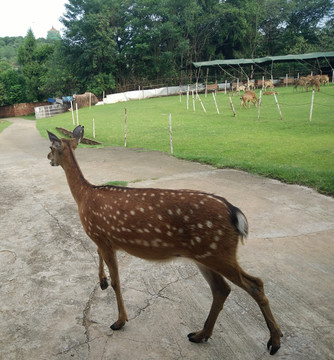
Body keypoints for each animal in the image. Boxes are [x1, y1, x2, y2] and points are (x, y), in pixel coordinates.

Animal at [47, 126, 282, 354]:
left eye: (51, 147)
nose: (48, 157)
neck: (84, 195)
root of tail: (235, 213)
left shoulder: (101, 235)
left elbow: (117, 281)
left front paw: (119, 320)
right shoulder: (103, 239)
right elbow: (100, 259)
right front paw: (102, 282)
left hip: (218, 251)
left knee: (255, 284)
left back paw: (274, 341)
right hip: (205, 254)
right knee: (221, 289)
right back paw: (200, 334)